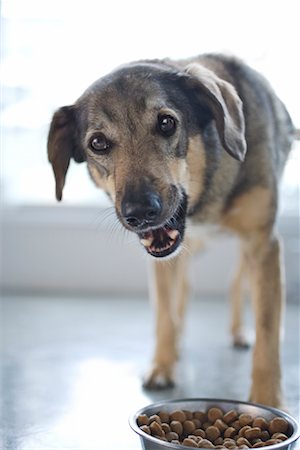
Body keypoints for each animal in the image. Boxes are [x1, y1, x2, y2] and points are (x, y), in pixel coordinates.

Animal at [48, 53, 294, 408]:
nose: (140, 213)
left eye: (166, 123)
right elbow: (165, 313)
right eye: (98, 143)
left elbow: (268, 331)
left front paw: (267, 401)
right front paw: (163, 366)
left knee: (237, 281)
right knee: (184, 293)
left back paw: (237, 332)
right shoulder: (163, 257)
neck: (205, 197)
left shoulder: (263, 244)